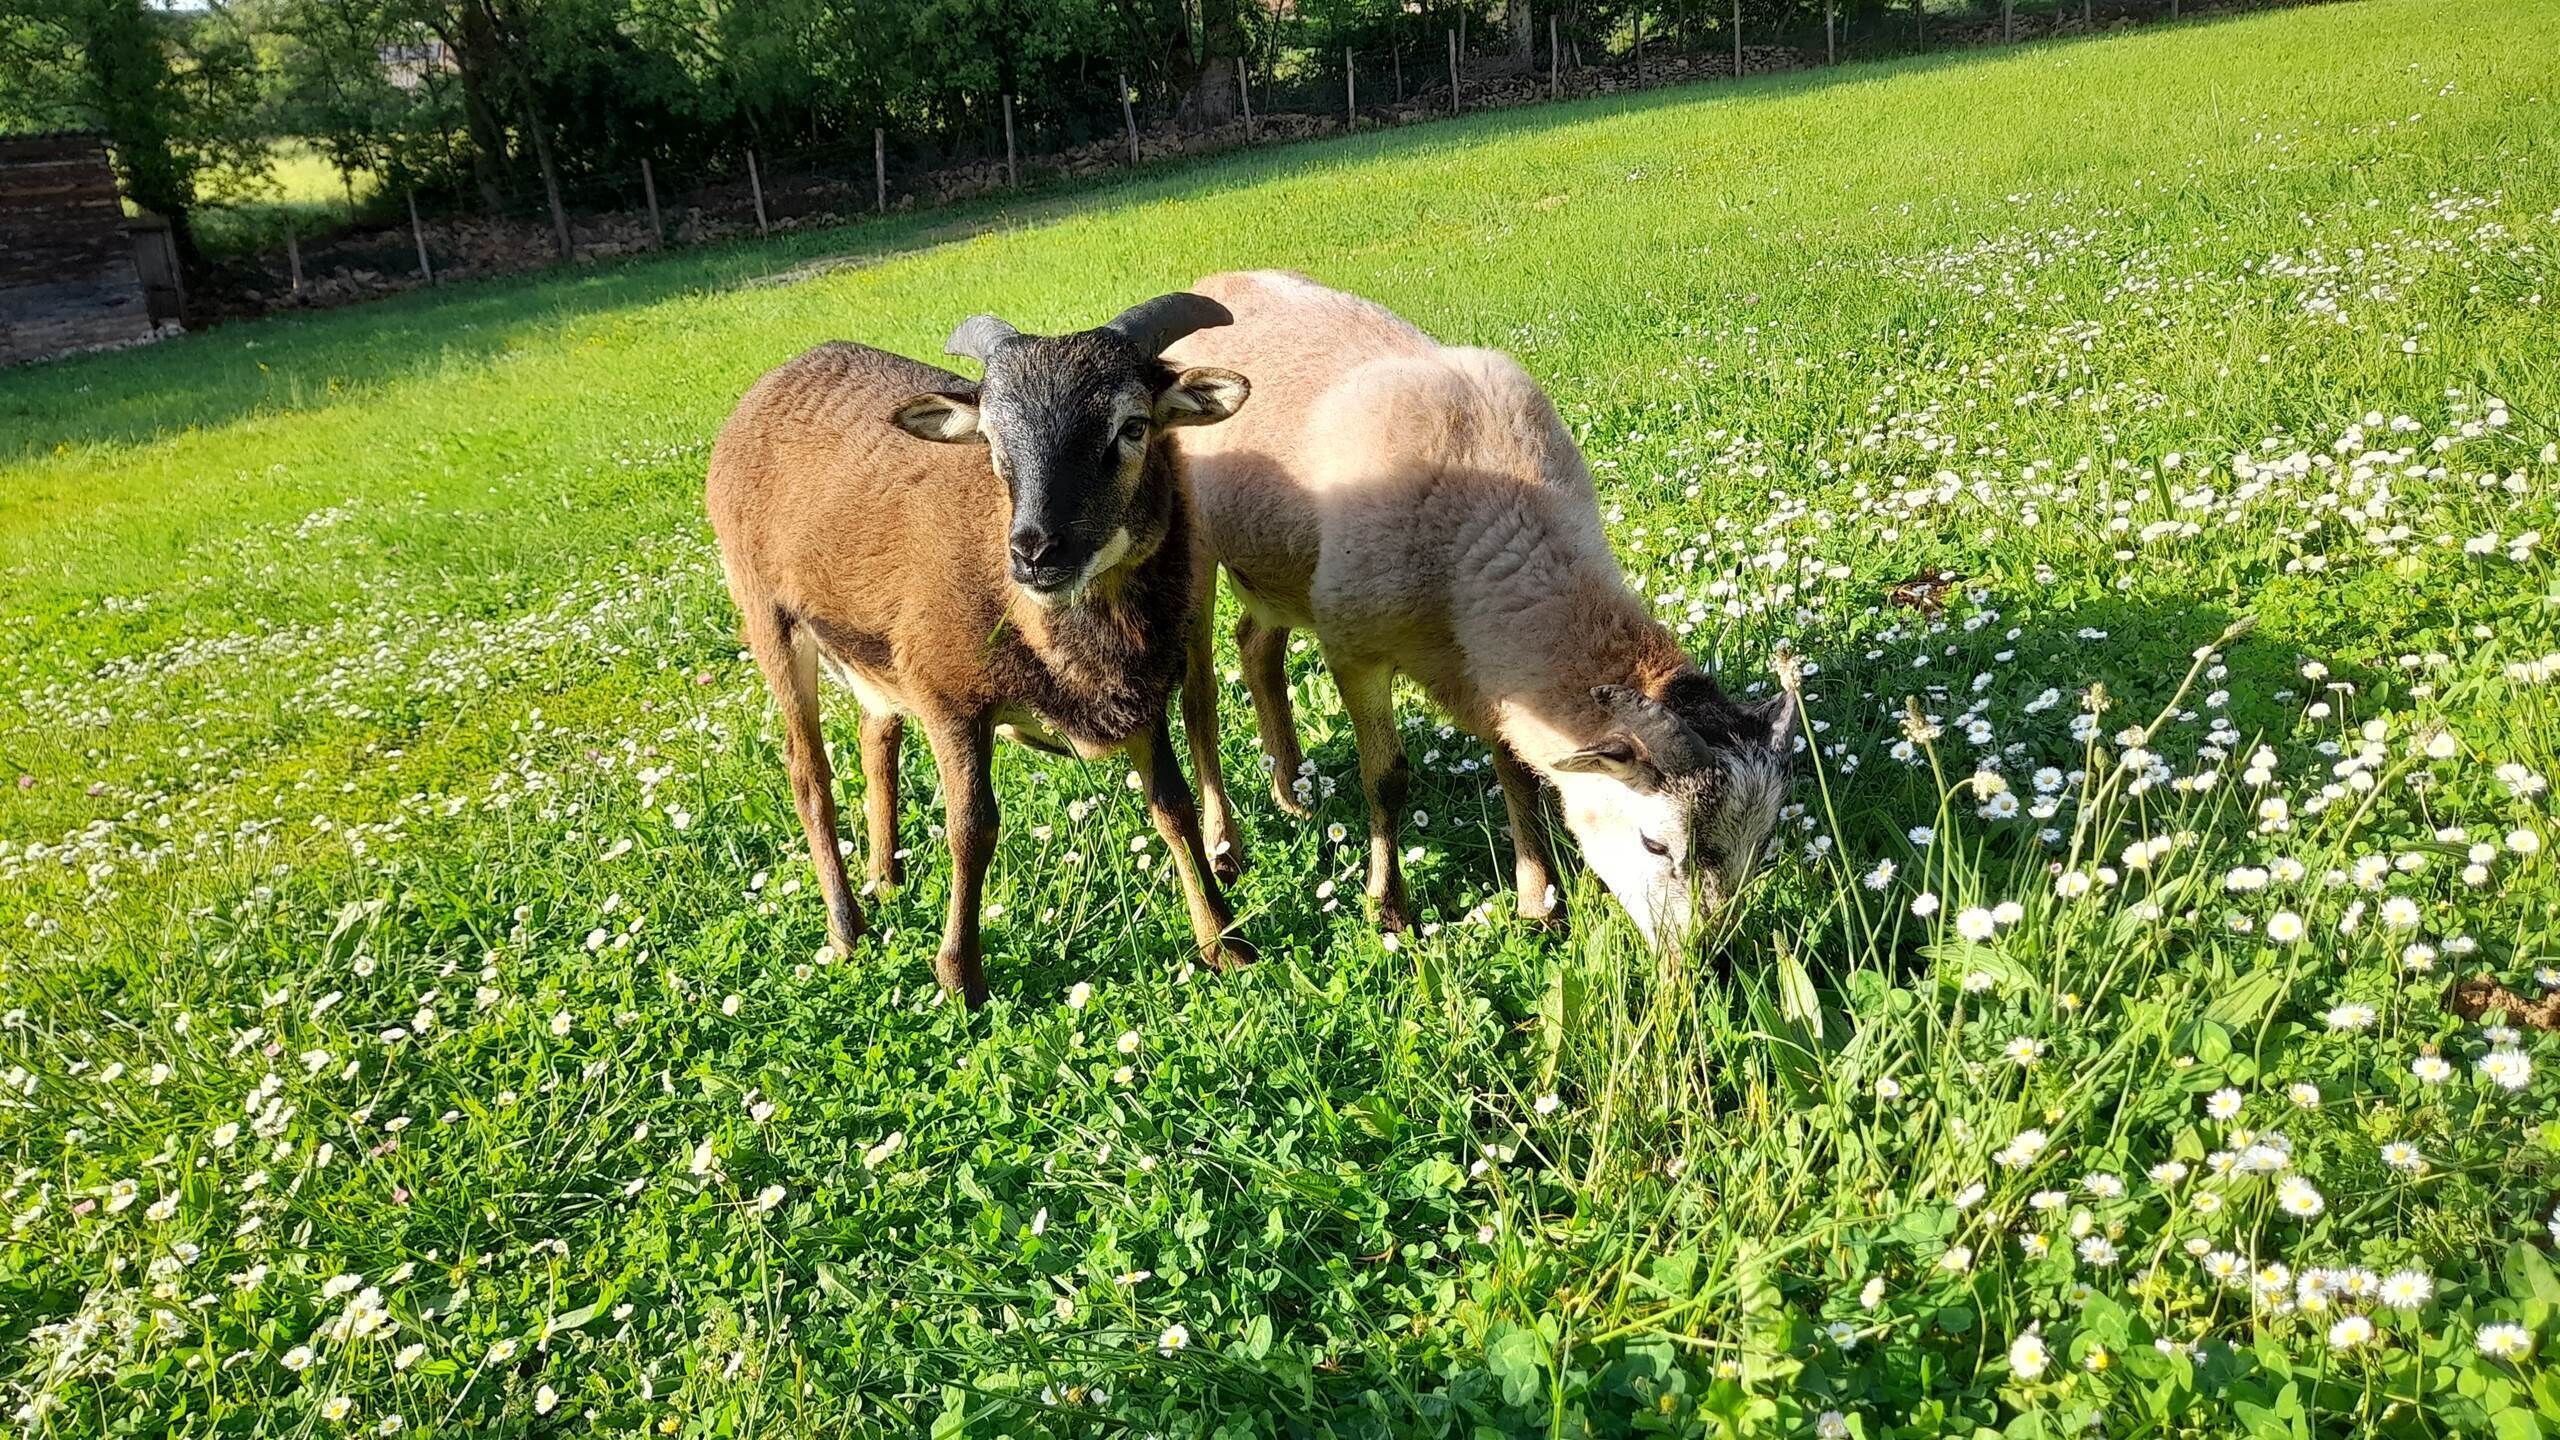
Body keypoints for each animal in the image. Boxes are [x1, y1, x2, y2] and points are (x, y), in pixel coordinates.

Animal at [705, 293, 1259, 1007]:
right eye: (992, 440)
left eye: (1133, 426)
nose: (1034, 551)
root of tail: (775, 378)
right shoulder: (950, 697)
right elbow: (972, 829)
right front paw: (960, 977)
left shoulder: (1141, 698)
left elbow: (1174, 808)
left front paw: (1225, 942)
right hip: (765, 612)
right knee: (808, 774)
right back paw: (846, 928)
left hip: (871, 655)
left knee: (876, 738)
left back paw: (885, 880)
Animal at [1164, 271, 1798, 949]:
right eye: (1655, 844)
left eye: (1761, 846)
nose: (1708, 959)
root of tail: (1216, 282)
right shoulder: (1355, 648)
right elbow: (1387, 777)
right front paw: (1390, 912)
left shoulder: (1499, 670)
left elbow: (1516, 767)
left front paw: (1539, 901)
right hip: (1190, 551)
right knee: (1200, 700)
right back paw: (1224, 847)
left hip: (1275, 569)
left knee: (1256, 646)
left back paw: (1292, 792)